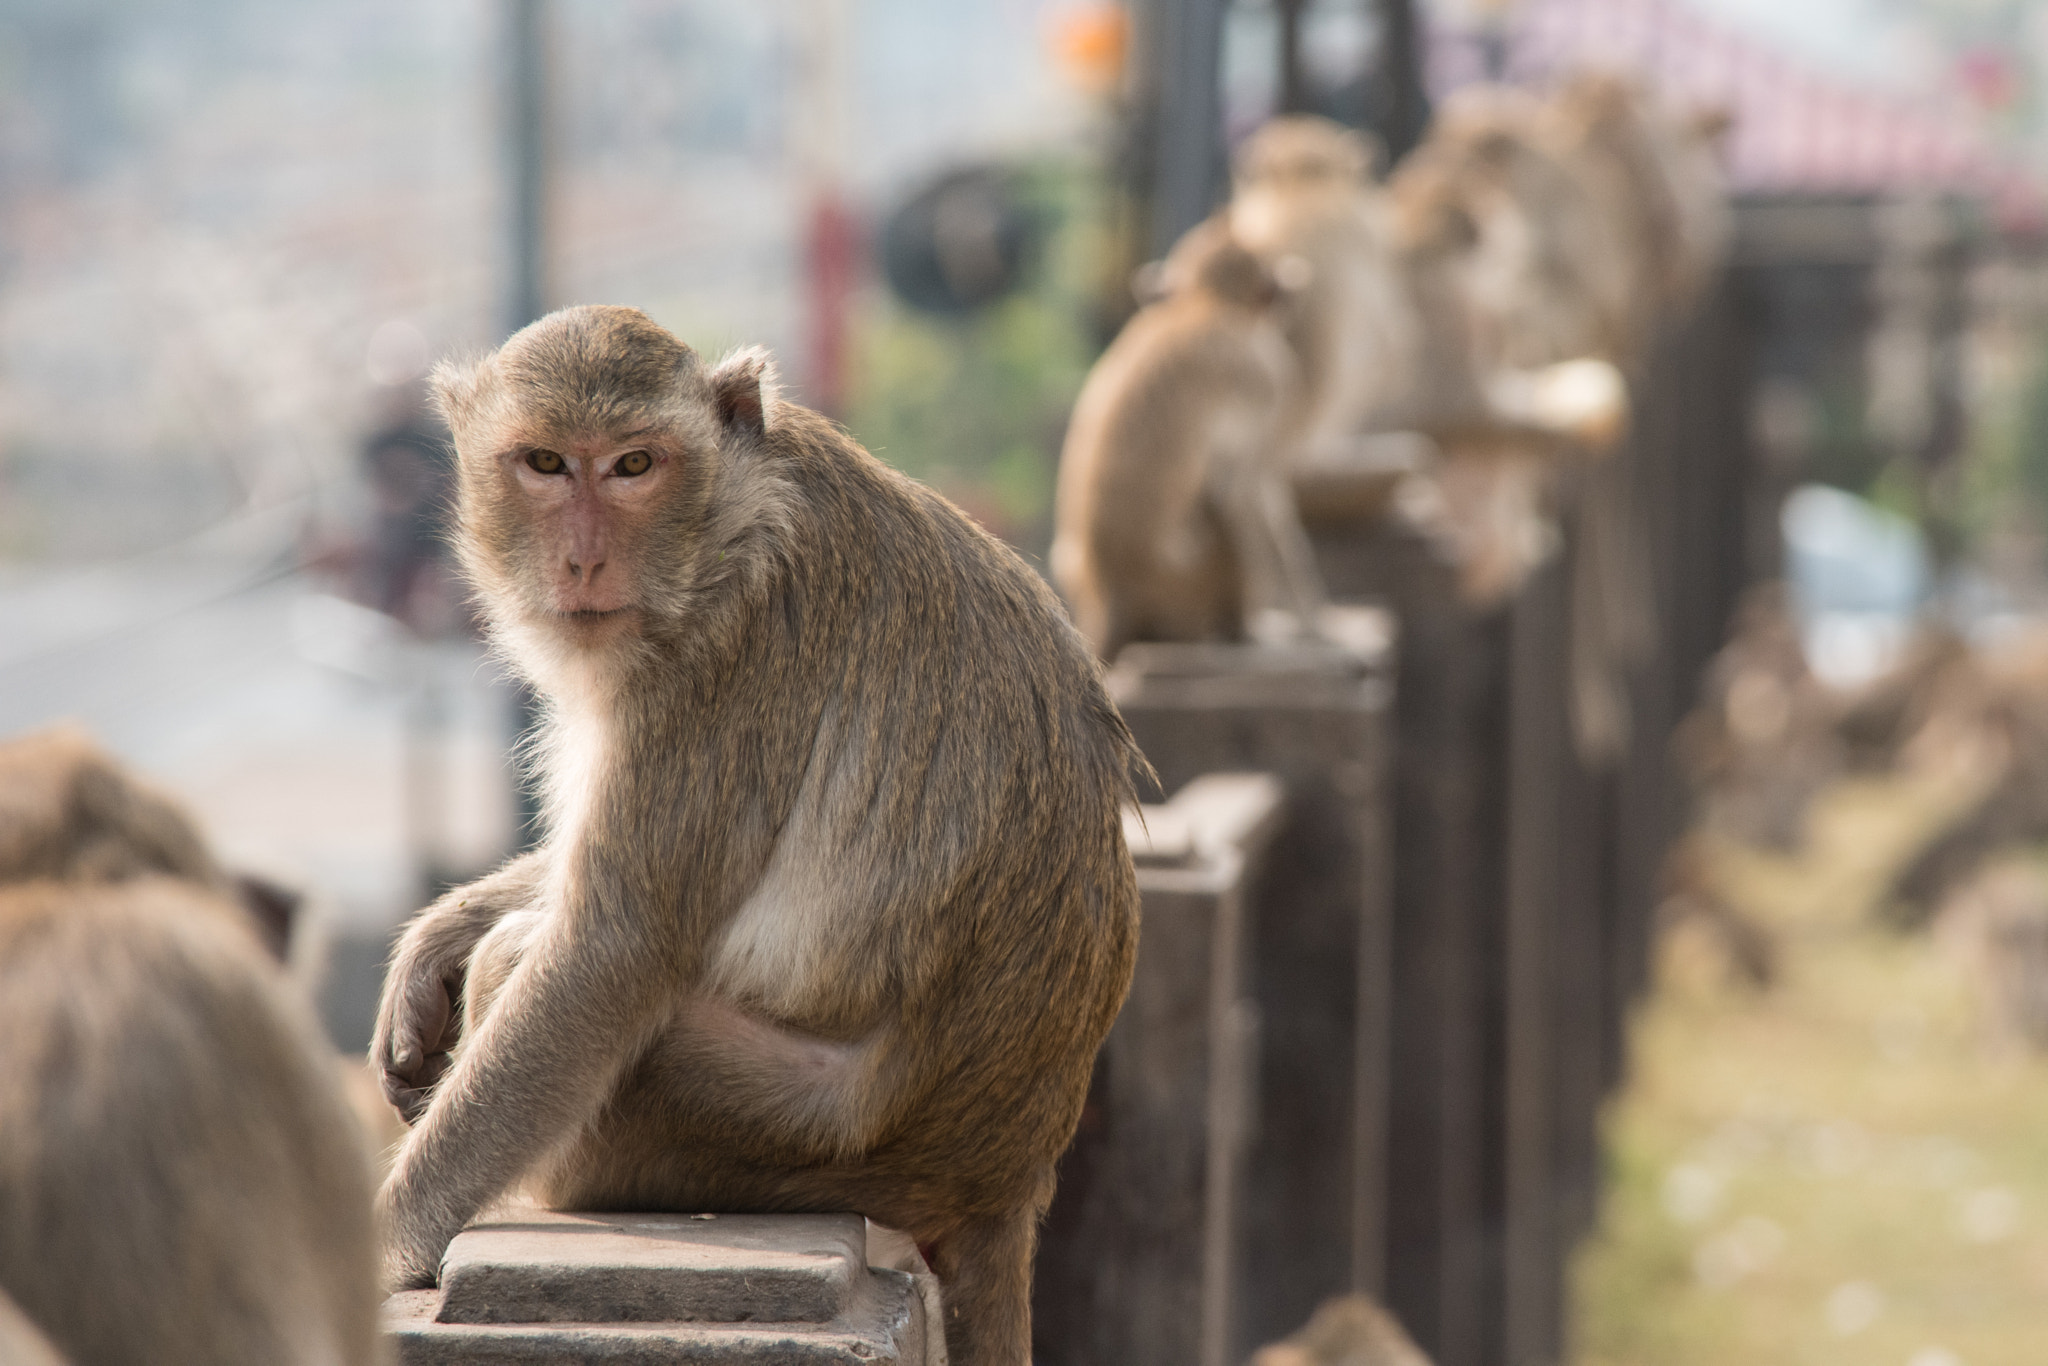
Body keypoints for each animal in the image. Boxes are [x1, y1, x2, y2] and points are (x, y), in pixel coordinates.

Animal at [368, 307, 1138, 1366]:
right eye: (545, 463)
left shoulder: (718, 658)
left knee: (534, 970)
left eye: (634, 464)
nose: (583, 559)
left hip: (765, 1133)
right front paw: (433, 941)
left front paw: (384, 1243)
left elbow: (611, 950)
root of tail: (1007, 1177)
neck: (724, 517)